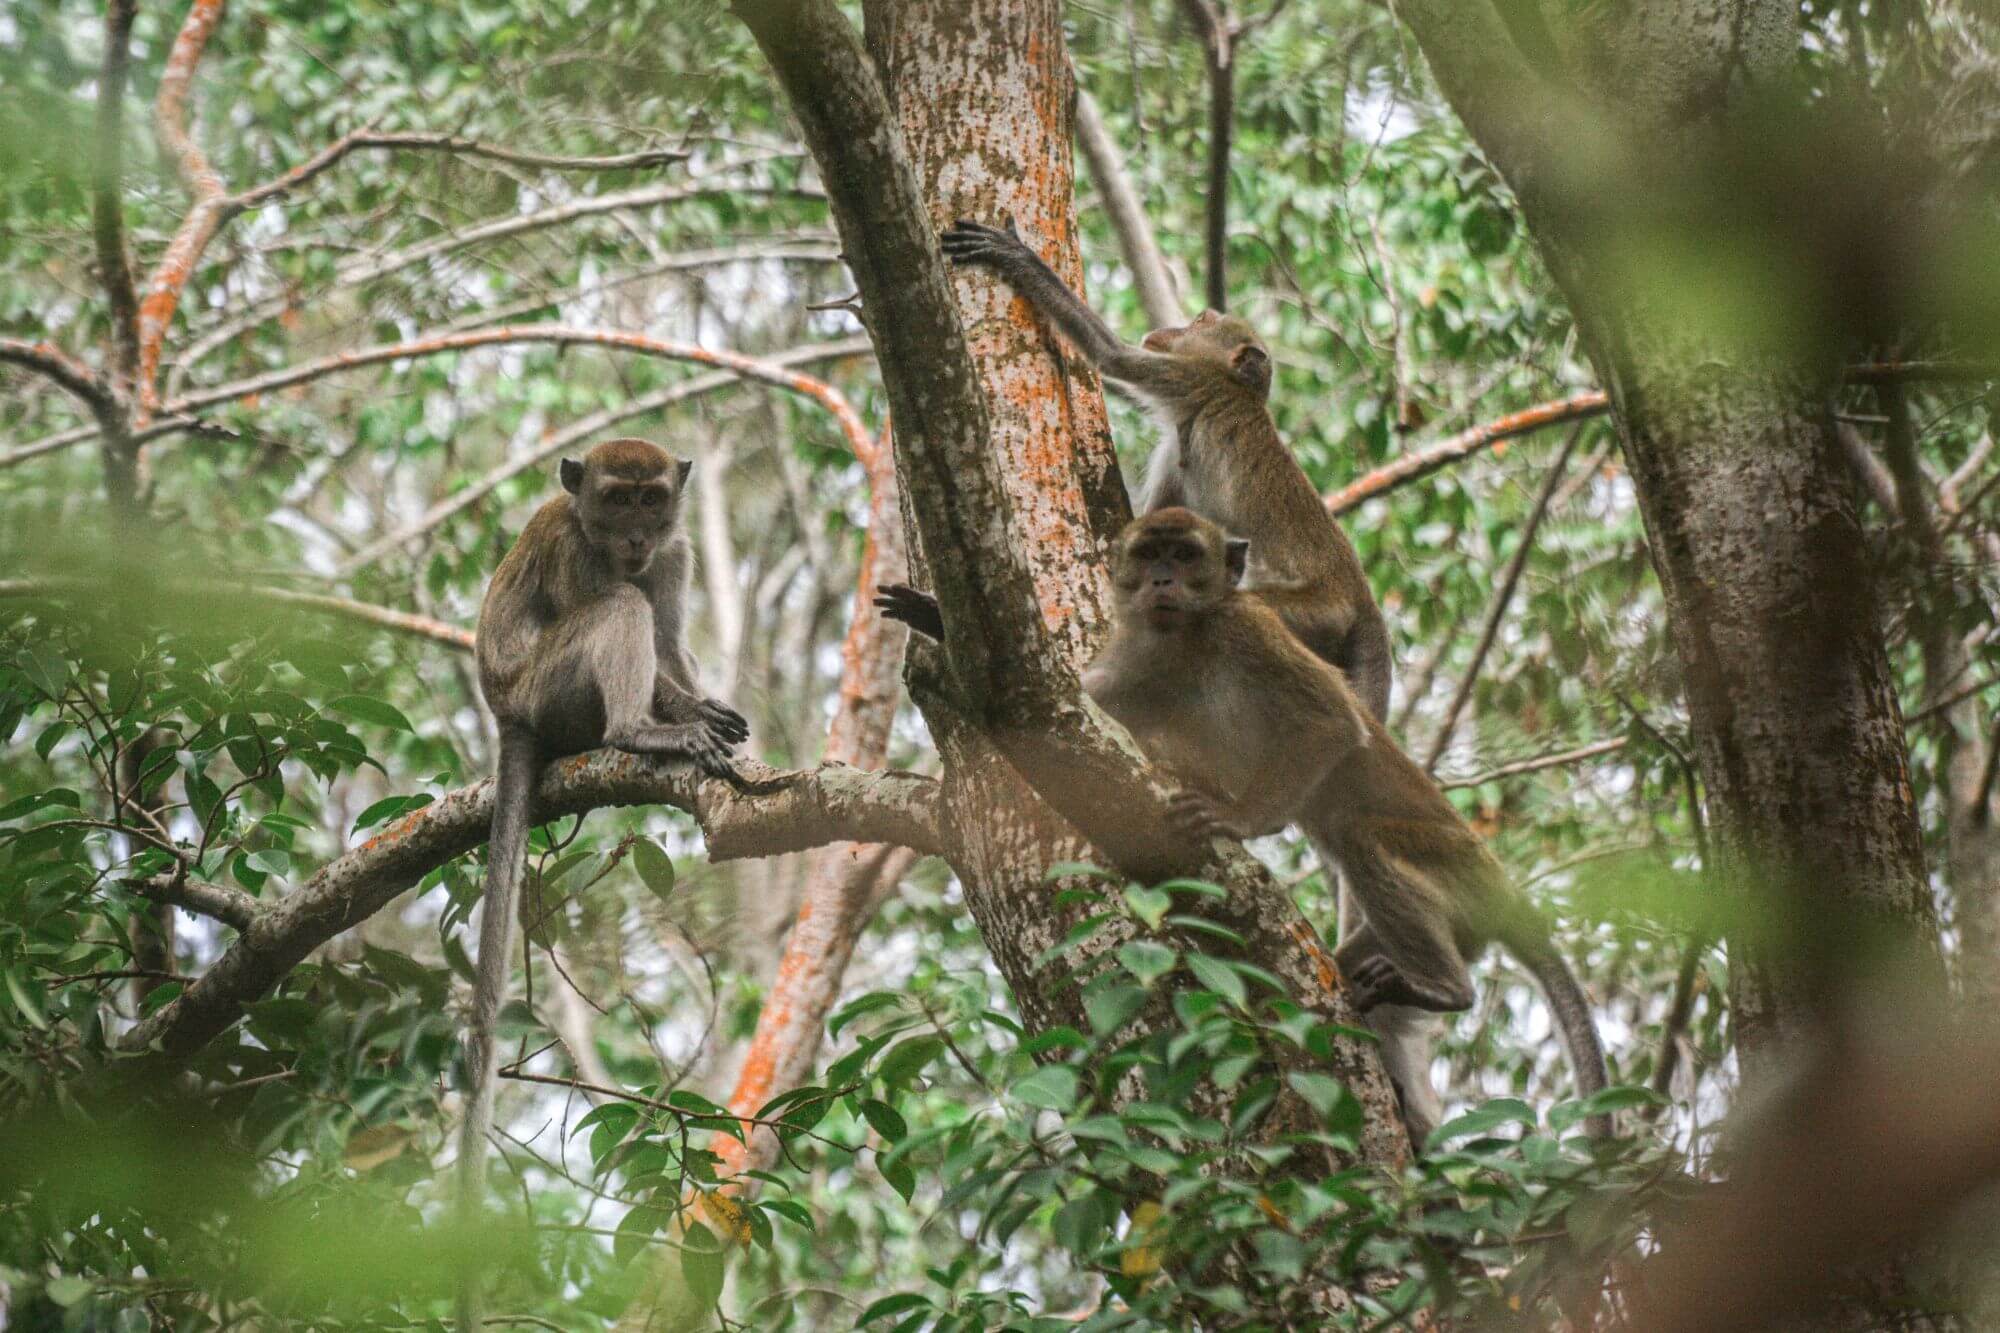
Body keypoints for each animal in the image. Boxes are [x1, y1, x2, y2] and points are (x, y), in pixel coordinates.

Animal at [458, 437, 746, 1326]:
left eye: (651, 500)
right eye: (616, 500)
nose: (635, 537)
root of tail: (505, 712)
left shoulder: (677, 554)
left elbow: (673, 637)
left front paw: (703, 702)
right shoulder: (574, 550)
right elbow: (624, 611)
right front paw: (683, 715)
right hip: (550, 692)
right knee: (618, 610)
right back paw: (640, 731)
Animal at [1081, 509, 1610, 1143]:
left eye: (1185, 556)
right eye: (1149, 554)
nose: (1162, 581)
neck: (1181, 641)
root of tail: (1504, 891)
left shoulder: (1246, 628)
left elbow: (1331, 720)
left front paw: (1239, 818)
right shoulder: (1133, 659)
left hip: (1457, 867)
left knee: (1365, 840)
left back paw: (1445, 989)